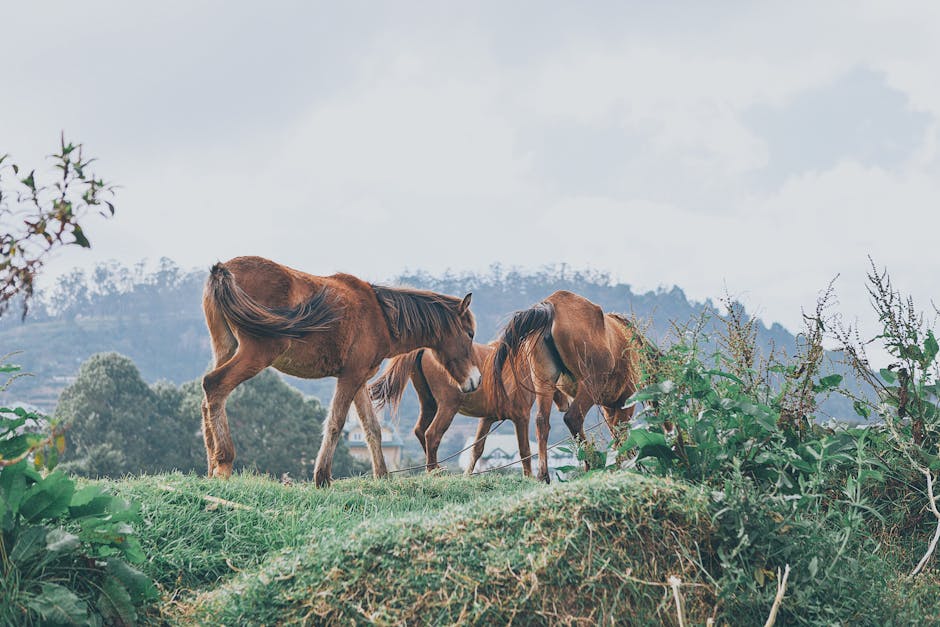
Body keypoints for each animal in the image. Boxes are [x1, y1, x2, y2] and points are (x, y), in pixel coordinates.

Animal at [198, 258, 478, 488]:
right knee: (215, 385)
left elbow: (372, 429)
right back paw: (223, 462)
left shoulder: (360, 380)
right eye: (470, 333)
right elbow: (335, 423)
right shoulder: (350, 377)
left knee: (206, 400)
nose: (475, 380)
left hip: (224, 348)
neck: (381, 315)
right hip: (256, 354)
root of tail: (223, 270)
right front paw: (322, 477)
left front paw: (382, 475)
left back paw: (212, 465)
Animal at [370, 344, 568, 476]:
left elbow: (477, 449)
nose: (565, 405)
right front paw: (529, 477)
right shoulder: (521, 417)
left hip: (429, 403)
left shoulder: (488, 418)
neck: (522, 367)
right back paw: (433, 471)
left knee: (420, 431)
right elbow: (524, 450)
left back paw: (437, 468)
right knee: (432, 434)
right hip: (448, 406)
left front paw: (467, 475)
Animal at [488, 292, 648, 484]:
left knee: (542, 421)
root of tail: (550, 308)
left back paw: (544, 475)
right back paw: (592, 462)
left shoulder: (610, 407)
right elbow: (621, 431)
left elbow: (615, 431)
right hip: (591, 383)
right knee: (573, 418)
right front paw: (625, 464)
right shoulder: (626, 400)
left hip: (544, 381)